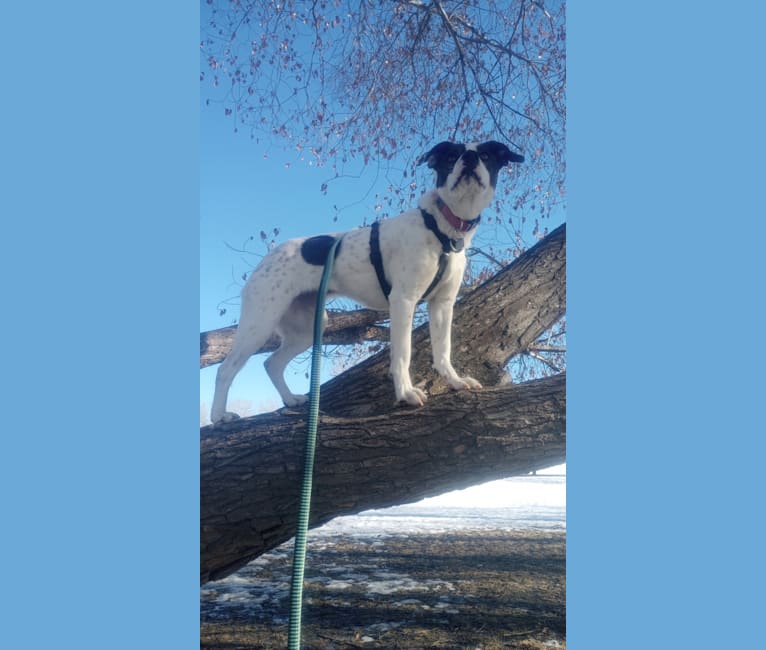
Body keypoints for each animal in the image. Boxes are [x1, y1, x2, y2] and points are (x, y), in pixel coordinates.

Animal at [212, 140, 520, 422]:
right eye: (451, 156)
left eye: (486, 156)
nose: (469, 158)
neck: (443, 229)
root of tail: (267, 259)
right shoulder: (403, 301)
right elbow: (403, 354)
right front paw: (405, 394)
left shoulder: (442, 305)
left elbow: (443, 350)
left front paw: (455, 381)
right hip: (260, 322)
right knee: (226, 369)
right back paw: (219, 416)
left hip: (307, 327)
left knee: (271, 363)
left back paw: (290, 399)